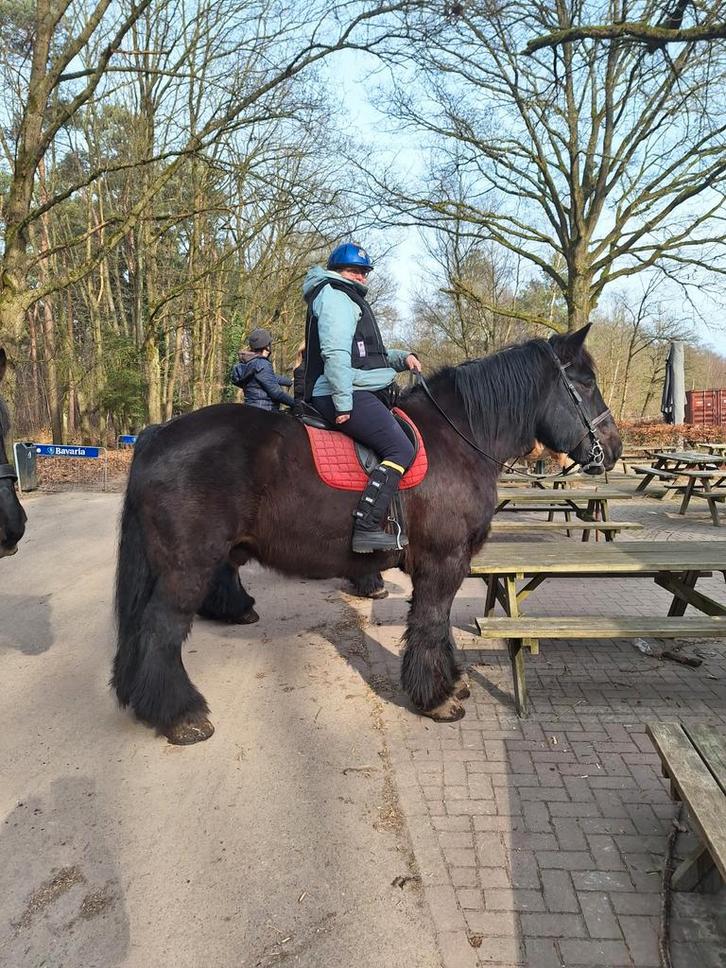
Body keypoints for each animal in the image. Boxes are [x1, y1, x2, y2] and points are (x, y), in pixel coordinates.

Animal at [113, 325, 621, 744]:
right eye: (585, 382)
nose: (613, 448)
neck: (457, 439)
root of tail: (159, 433)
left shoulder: (445, 563)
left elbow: (438, 625)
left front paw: (451, 681)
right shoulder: (444, 560)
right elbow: (430, 622)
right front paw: (436, 699)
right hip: (186, 567)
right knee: (159, 629)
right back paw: (181, 715)